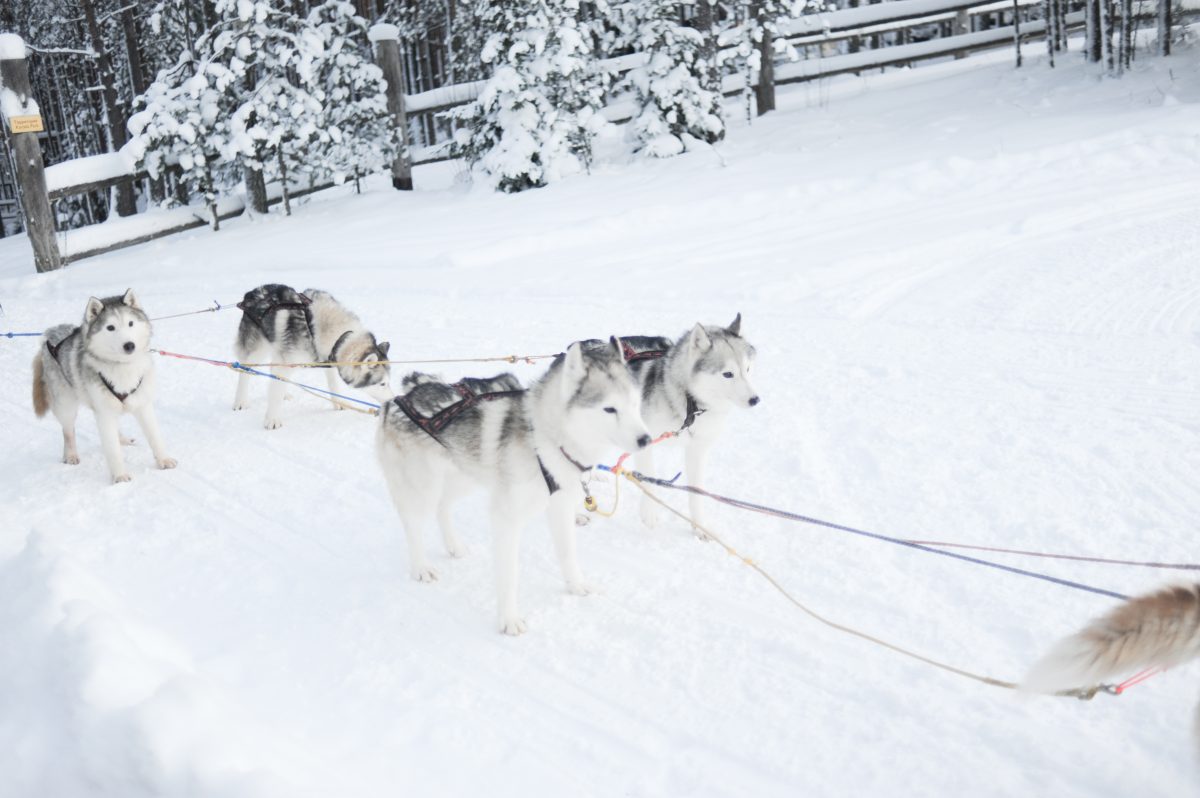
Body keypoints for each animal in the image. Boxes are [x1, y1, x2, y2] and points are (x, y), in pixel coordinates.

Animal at [31, 289, 175, 482]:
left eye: (130, 323)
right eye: (110, 327)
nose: (129, 345)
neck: (122, 367)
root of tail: (50, 335)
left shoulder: (143, 405)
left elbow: (155, 437)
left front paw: (164, 460)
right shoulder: (104, 412)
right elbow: (112, 450)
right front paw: (120, 476)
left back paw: (122, 439)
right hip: (66, 406)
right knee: (68, 432)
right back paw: (70, 455)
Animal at [236, 283, 396, 427]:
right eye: (382, 383)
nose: (393, 401)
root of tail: (252, 293)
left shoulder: (329, 360)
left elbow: (333, 385)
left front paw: (338, 403)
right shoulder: (286, 363)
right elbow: (275, 395)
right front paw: (272, 419)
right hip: (257, 351)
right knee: (244, 371)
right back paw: (240, 401)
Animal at [379, 338, 652, 633]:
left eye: (634, 404)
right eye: (609, 408)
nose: (646, 439)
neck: (544, 440)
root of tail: (396, 401)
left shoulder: (560, 507)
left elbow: (567, 553)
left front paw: (577, 586)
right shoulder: (506, 519)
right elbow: (509, 576)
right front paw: (508, 619)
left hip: (463, 477)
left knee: (443, 507)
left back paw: (454, 546)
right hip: (423, 487)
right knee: (413, 524)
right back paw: (421, 567)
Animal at [628, 314, 758, 532]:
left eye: (747, 369)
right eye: (727, 374)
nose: (755, 400)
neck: (690, 402)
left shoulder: (697, 449)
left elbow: (696, 492)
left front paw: (699, 526)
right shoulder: (643, 442)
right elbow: (649, 477)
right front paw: (650, 513)